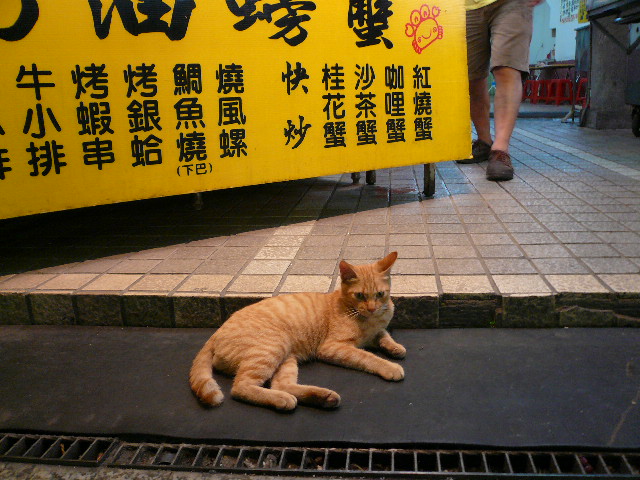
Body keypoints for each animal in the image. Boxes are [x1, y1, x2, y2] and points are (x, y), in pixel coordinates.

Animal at [188, 249, 404, 410]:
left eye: (380, 294)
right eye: (359, 295)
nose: (372, 308)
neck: (368, 319)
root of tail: (216, 332)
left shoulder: (376, 331)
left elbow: (384, 335)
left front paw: (396, 348)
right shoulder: (333, 347)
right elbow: (368, 357)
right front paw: (390, 366)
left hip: (286, 358)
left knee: (282, 384)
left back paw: (323, 397)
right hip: (272, 347)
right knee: (241, 387)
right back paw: (283, 400)